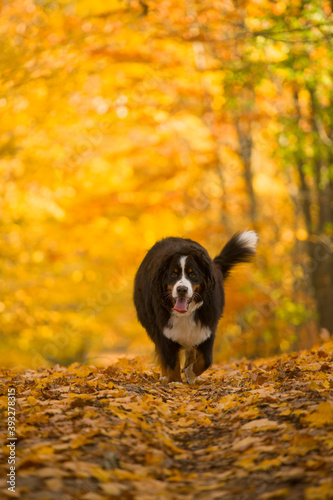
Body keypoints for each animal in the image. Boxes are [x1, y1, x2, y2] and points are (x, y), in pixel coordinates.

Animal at [132, 230, 256, 382]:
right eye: (173, 274)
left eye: (193, 274)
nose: (182, 289)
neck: (185, 313)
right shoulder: (164, 331)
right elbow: (171, 361)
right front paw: (175, 382)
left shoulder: (206, 328)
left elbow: (205, 360)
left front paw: (190, 373)